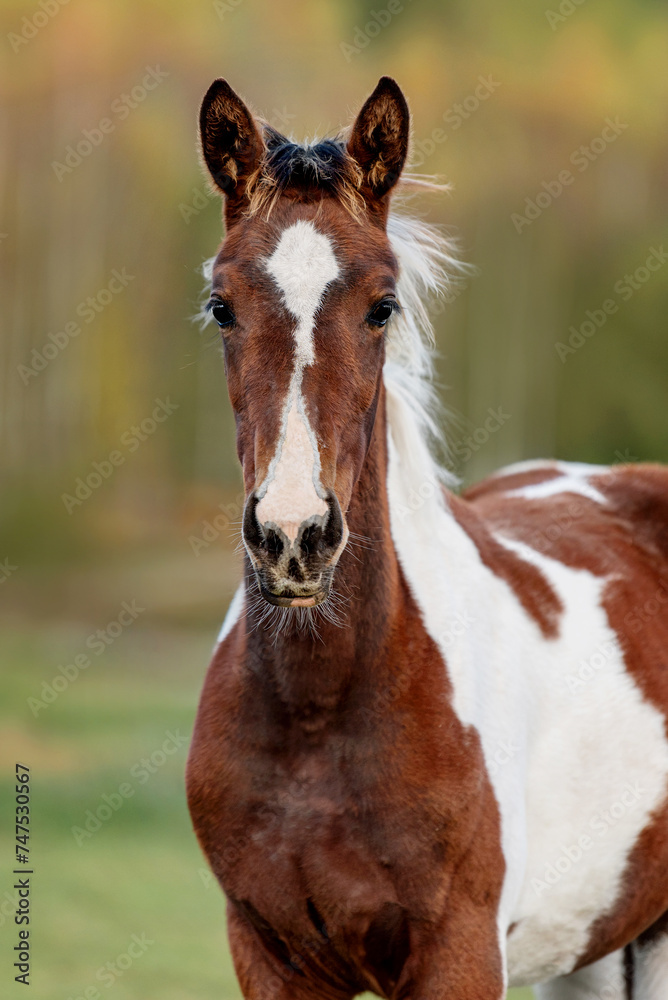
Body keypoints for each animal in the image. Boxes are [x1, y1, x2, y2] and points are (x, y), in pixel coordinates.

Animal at [185, 74, 668, 996]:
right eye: (221, 305)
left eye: (384, 306)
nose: (295, 534)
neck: (319, 709)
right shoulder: (265, 953)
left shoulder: (461, 954)